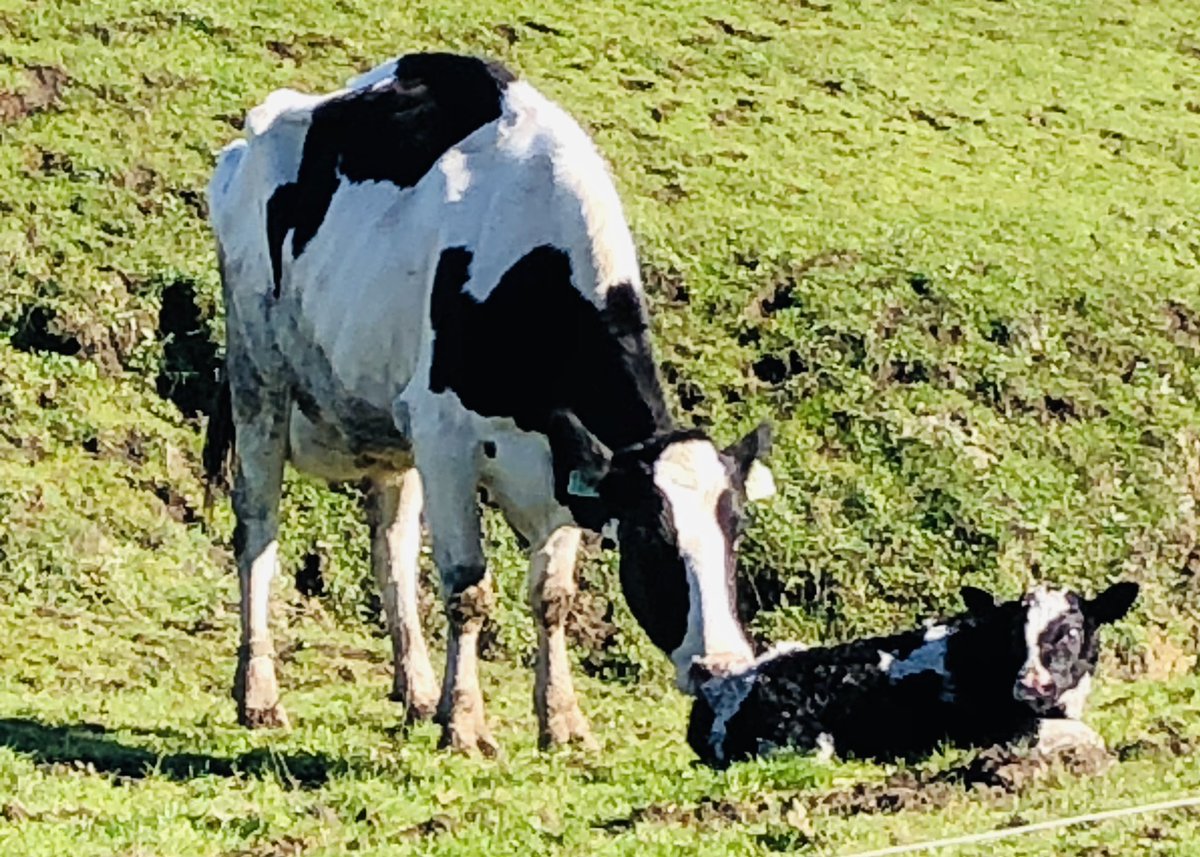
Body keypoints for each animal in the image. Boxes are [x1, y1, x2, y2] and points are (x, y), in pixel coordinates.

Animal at [205, 52, 777, 753]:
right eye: (651, 535)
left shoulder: (564, 457)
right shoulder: (447, 438)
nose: (719, 666)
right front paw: (467, 725)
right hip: (258, 375)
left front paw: (561, 722)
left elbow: (552, 596)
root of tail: (256, 131)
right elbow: (466, 587)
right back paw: (260, 695)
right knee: (258, 529)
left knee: (392, 550)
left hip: (390, 428)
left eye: (735, 530)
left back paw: (418, 692)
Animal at [687, 581, 1138, 766]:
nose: (1031, 685)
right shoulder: (1000, 729)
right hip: (807, 745)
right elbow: (1088, 736)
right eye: (1013, 633)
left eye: (1072, 632)